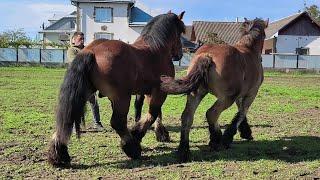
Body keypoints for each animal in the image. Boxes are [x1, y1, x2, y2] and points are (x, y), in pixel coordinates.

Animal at [48, 11, 186, 166]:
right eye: (181, 30)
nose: (179, 54)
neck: (156, 49)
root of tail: (92, 50)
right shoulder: (159, 92)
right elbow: (152, 114)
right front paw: (138, 134)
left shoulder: (149, 92)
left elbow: (156, 113)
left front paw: (160, 133)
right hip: (122, 97)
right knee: (117, 122)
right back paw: (132, 148)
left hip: (83, 93)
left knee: (67, 118)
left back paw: (59, 154)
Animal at [161, 18, 268, 162]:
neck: (248, 49)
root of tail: (207, 56)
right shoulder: (251, 94)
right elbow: (242, 112)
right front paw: (230, 137)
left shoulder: (240, 95)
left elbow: (240, 111)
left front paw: (246, 132)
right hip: (226, 98)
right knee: (211, 113)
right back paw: (216, 140)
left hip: (196, 94)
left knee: (187, 117)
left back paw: (184, 151)